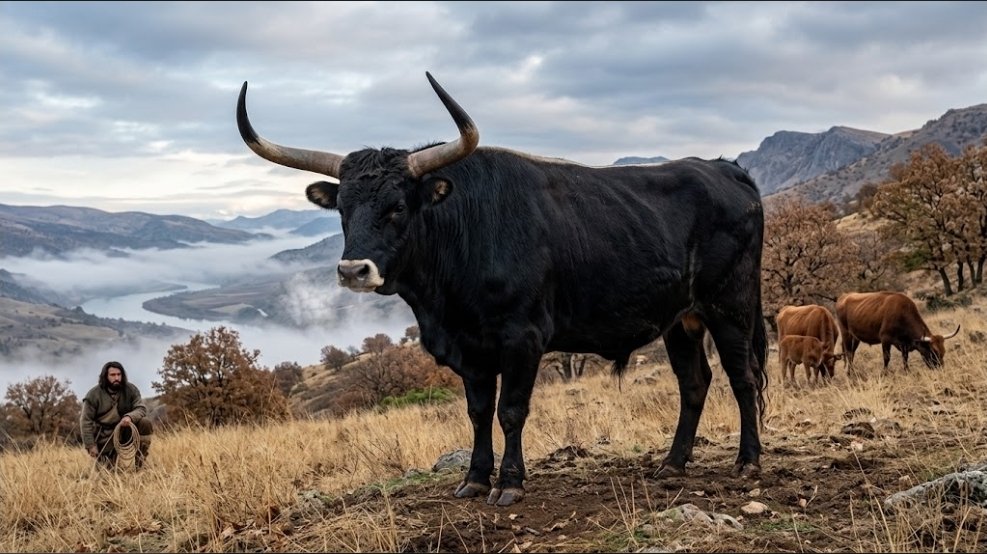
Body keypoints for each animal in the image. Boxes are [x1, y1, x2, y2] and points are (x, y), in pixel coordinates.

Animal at [236, 72, 768, 506]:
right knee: (694, 382)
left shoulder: (522, 338)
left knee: (742, 377)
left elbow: (511, 411)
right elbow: (476, 412)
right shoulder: (468, 348)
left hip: (731, 305)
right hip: (681, 318)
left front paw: (510, 483)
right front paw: (474, 479)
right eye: (343, 210)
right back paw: (673, 463)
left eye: (397, 207)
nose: (353, 271)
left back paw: (748, 461)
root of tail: (723, 168)